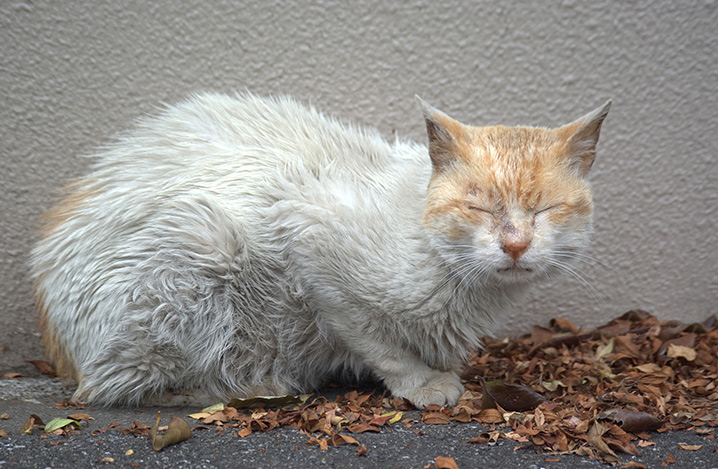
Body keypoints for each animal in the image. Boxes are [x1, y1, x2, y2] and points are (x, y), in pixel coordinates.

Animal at [29, 92, 612, 406]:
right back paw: (255, 386)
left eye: (546, 210)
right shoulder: (308, 233)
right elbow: (379, 343)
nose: (515, 244)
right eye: (479, 207)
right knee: (107, 389)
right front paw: (423, 383)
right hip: (203, 242)